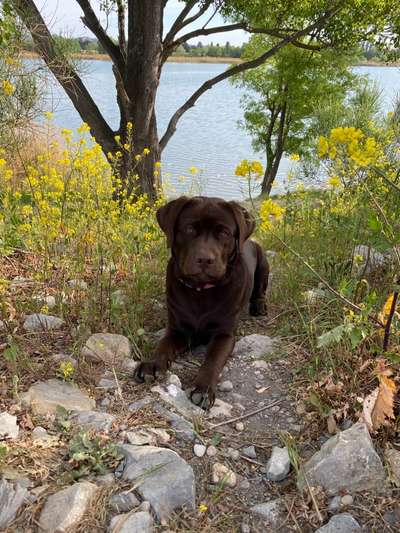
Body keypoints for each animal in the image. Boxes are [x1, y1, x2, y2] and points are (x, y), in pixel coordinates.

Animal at [136, 195, 270, 408]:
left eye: (224, 233)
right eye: (190, 229)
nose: (205, 259)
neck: (201, 292)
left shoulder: (224, 335)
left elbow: (213, 360)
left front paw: (203, 388)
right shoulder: (178, 329)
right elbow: (163, 345)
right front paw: (152, 364)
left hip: (264, 262)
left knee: (260, 289)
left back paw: (259, 306)